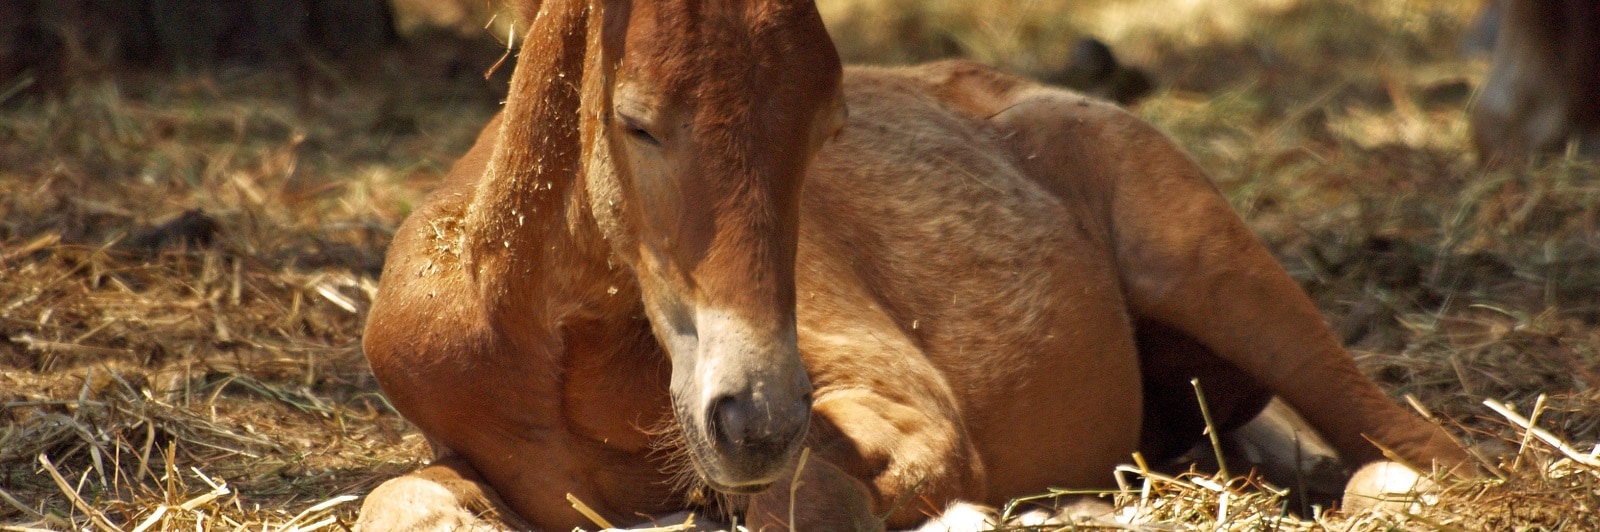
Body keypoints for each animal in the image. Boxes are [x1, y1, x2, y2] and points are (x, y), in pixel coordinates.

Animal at [363, 0, 1472, 528]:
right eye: (634, 120)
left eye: (829, 125)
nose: (756, 419)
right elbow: (399, 502)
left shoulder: (903, 405)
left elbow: (807, 504)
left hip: (1211, 267)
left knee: (1423, 448)